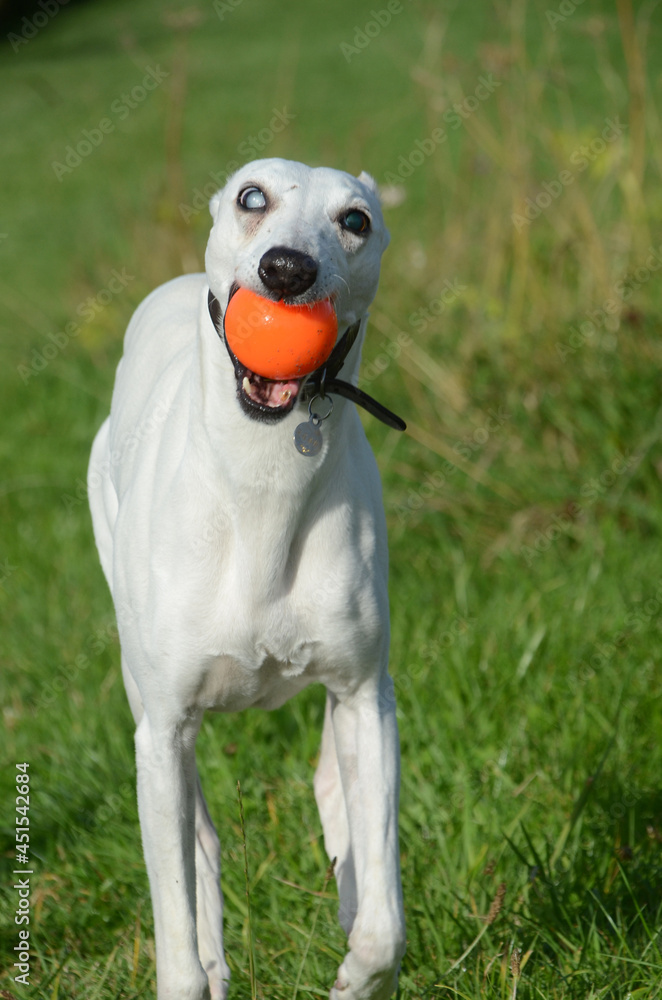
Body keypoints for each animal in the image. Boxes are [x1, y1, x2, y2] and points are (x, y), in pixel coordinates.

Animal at [89, 158, 410, 1000]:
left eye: (356, 219)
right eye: (252, 197)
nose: (287, 270)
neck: (264, 487)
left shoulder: (365, 693)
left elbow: (384, 930)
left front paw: (354, 973)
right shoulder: (164, 727)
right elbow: (176, 934)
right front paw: (194, 963)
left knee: (335, 783)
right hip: (146, 698)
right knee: (196, 836)